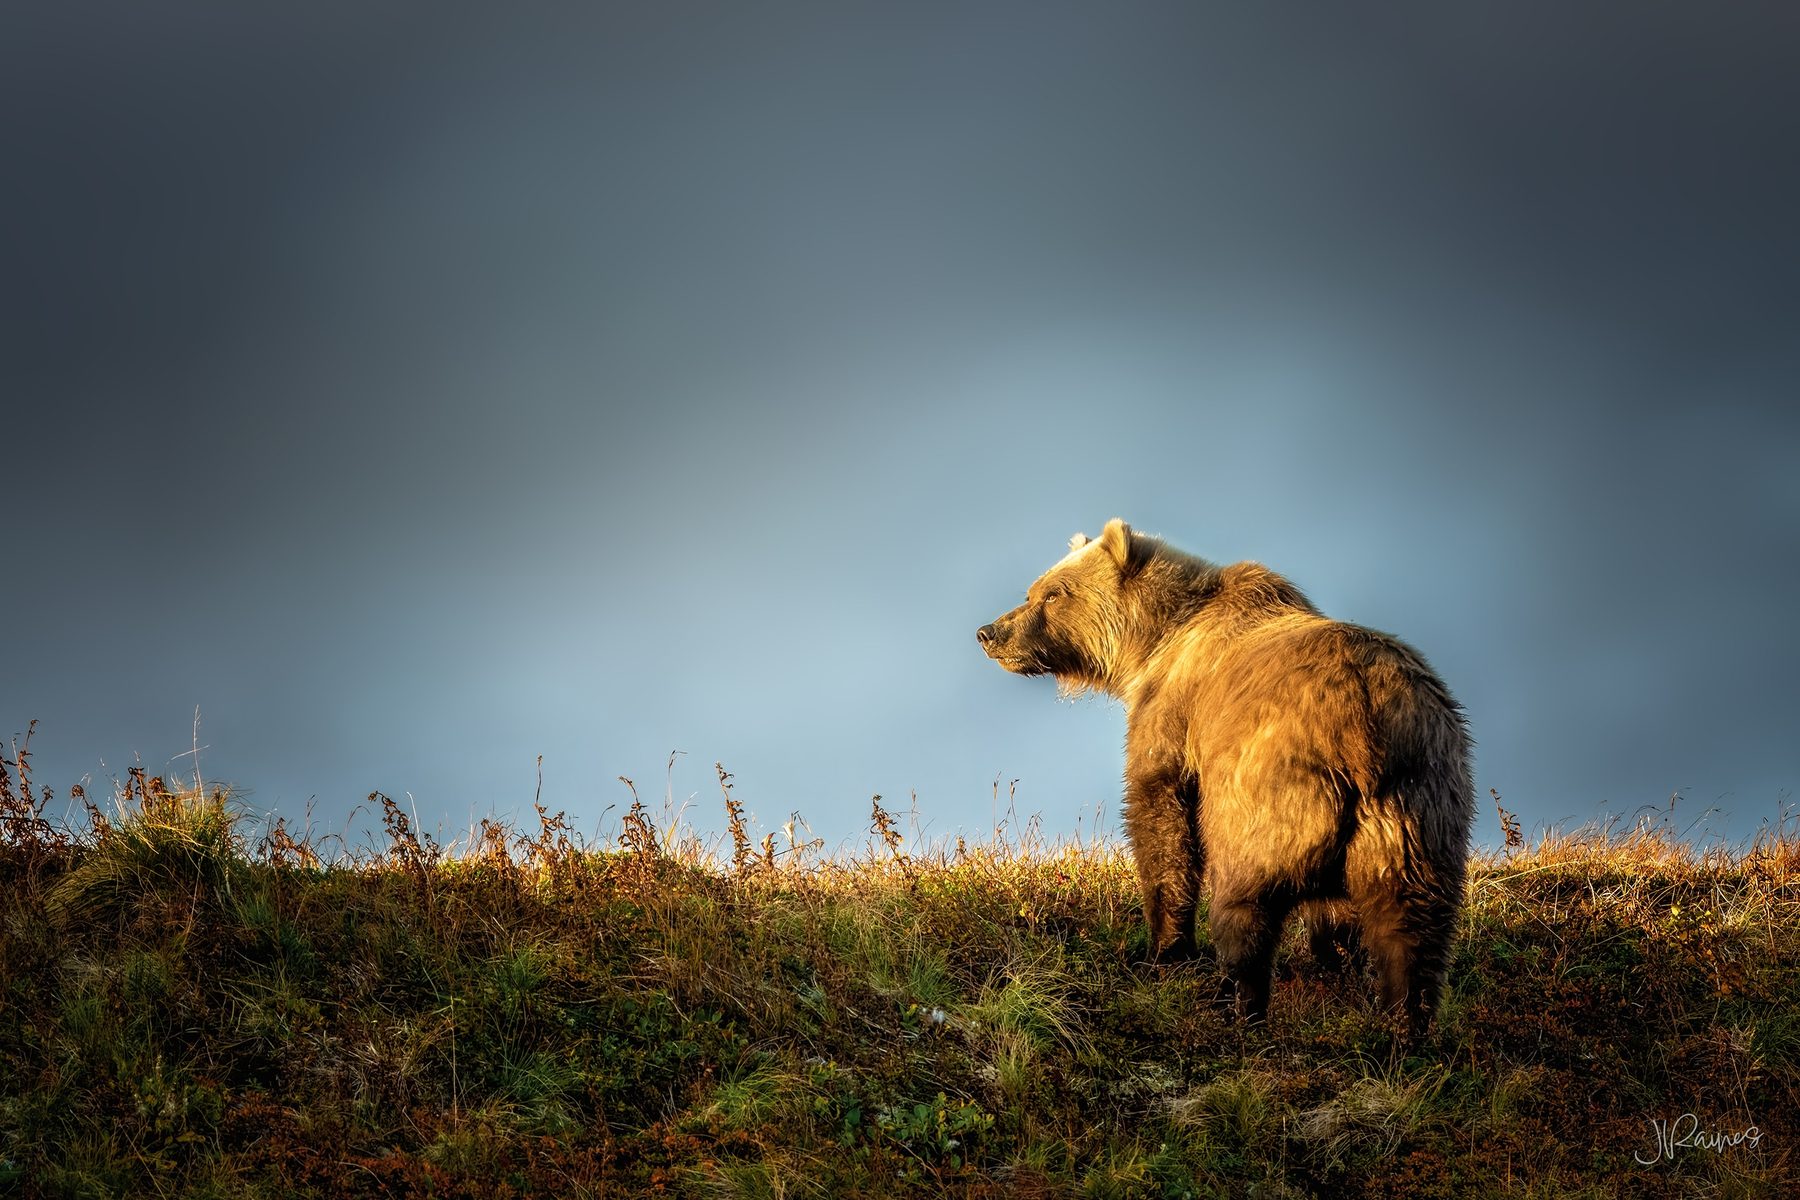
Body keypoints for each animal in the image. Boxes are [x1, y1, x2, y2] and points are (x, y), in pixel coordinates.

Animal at [978, 519, 1473, 1035]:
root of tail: (1362, 718)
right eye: (1034, 590)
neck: (1156, 640)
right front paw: (1334, 958)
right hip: (1417, 800)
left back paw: (1238, 1001)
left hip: (1272, 786)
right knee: (1412, 923)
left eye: (1053, 593)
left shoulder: (1172, 710)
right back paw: (1405, 1021)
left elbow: (1161, 816)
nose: (989, 632)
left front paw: (1166, 950)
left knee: (1244, 898)